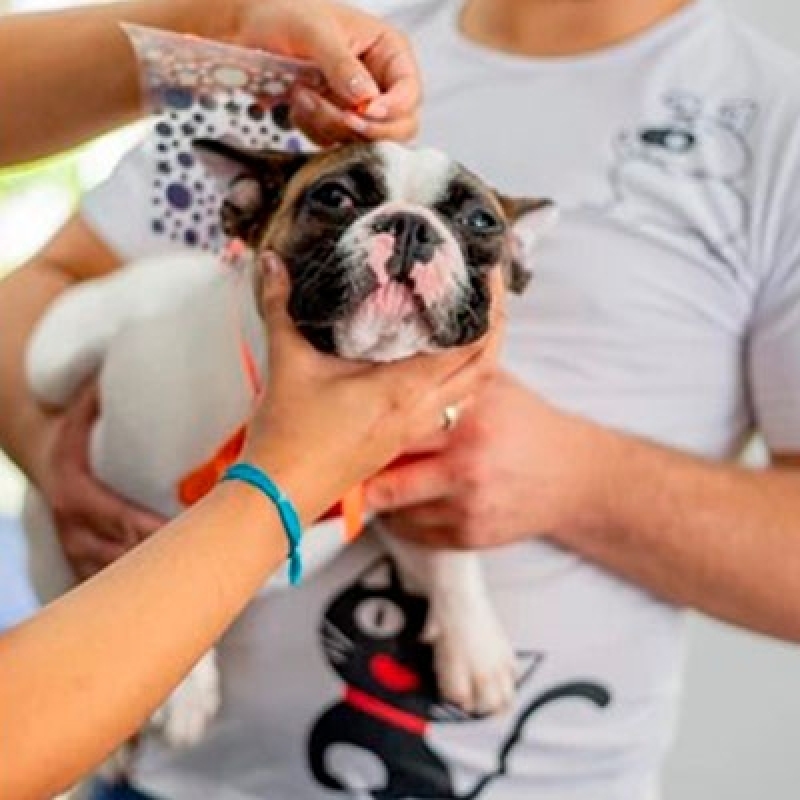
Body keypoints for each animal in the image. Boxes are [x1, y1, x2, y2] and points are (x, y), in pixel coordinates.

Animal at [21, 139, 552, 752]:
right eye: (334, 196)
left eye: (481, 221)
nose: (412, 226)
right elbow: (150, 581)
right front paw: (184, 693)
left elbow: (450, 559)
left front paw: (474, 646)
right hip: (55, 357)